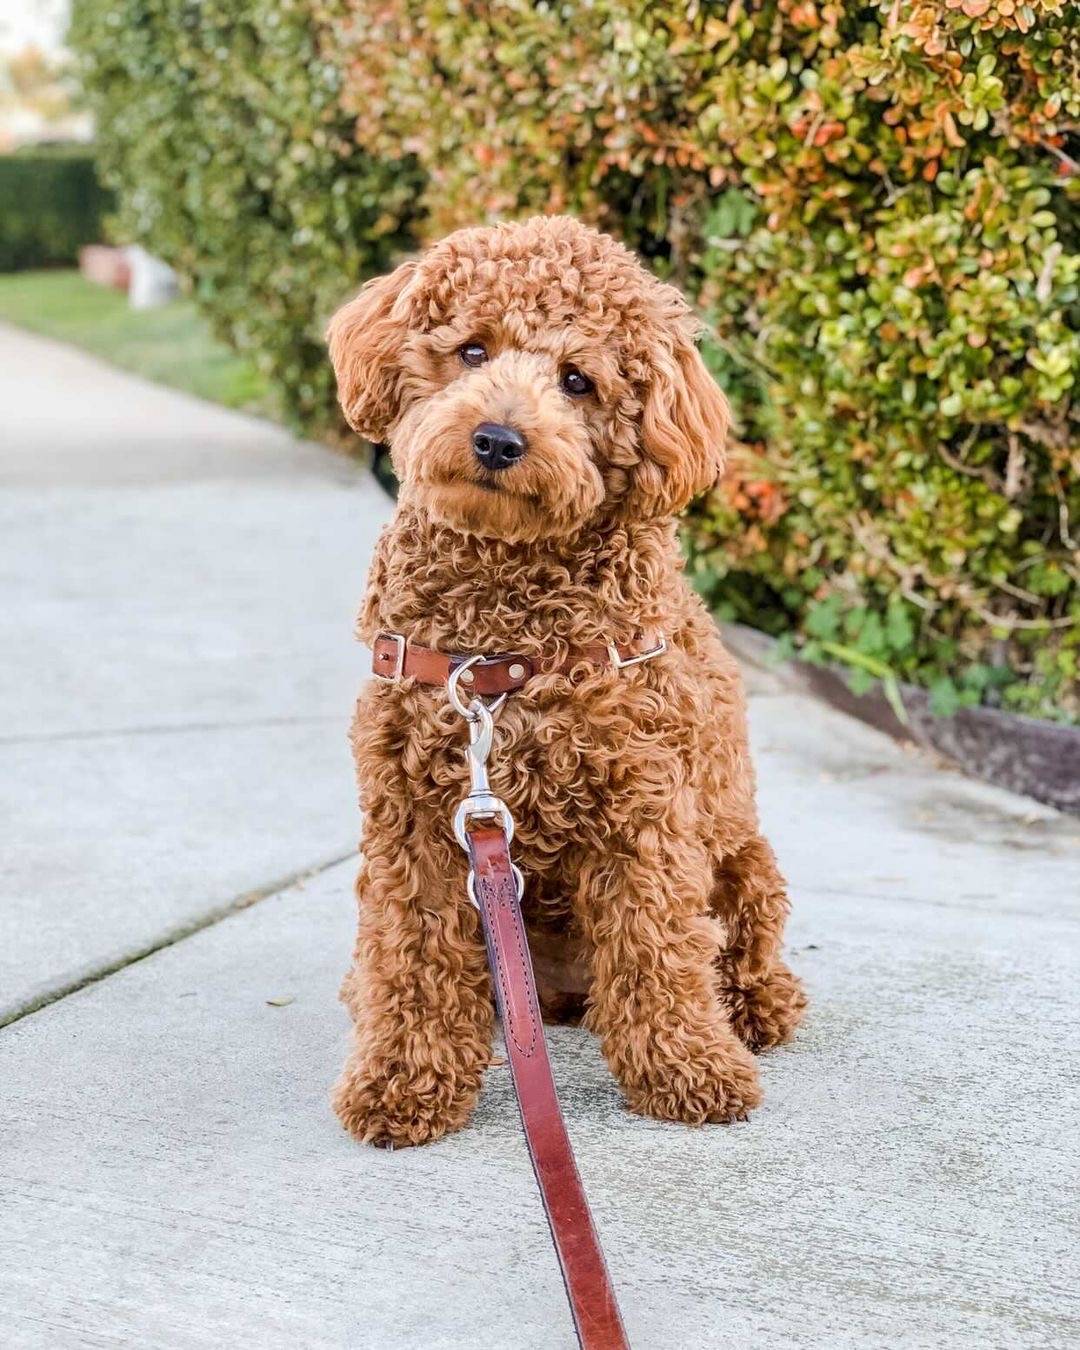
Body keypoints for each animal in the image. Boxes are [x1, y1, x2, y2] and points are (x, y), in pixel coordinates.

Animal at [325, 216, 804, 1144]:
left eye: (578, 380)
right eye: (472, 350)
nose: (498, 439)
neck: (499, 647)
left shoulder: (643, 807)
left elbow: (657, 945)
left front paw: (688, 1068)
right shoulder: (411, 813)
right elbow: (413, 947)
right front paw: (402, 1079)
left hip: (745, 858)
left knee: (739, 945)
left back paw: (752, 1007)